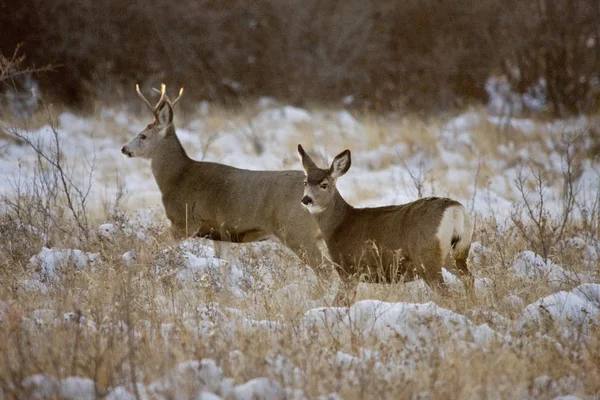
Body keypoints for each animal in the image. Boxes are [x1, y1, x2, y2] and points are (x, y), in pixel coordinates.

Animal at [120, 83, 326, 272]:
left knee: (325, 269)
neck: (176, 178)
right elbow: (222, 263)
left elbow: (152, 246)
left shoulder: (184, 222)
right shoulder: (220, 234)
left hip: (296, 231)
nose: (124, 148)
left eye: (143, 136)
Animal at [296, 144, 474, 304]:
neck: (339, 225)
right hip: (455, 253)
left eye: (324, 184)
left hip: (426, 255)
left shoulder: (348, 268)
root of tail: (455, 210)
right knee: (468, 278)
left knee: (447, 292)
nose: (306, 199)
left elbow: (342, 301)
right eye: (305, 182)